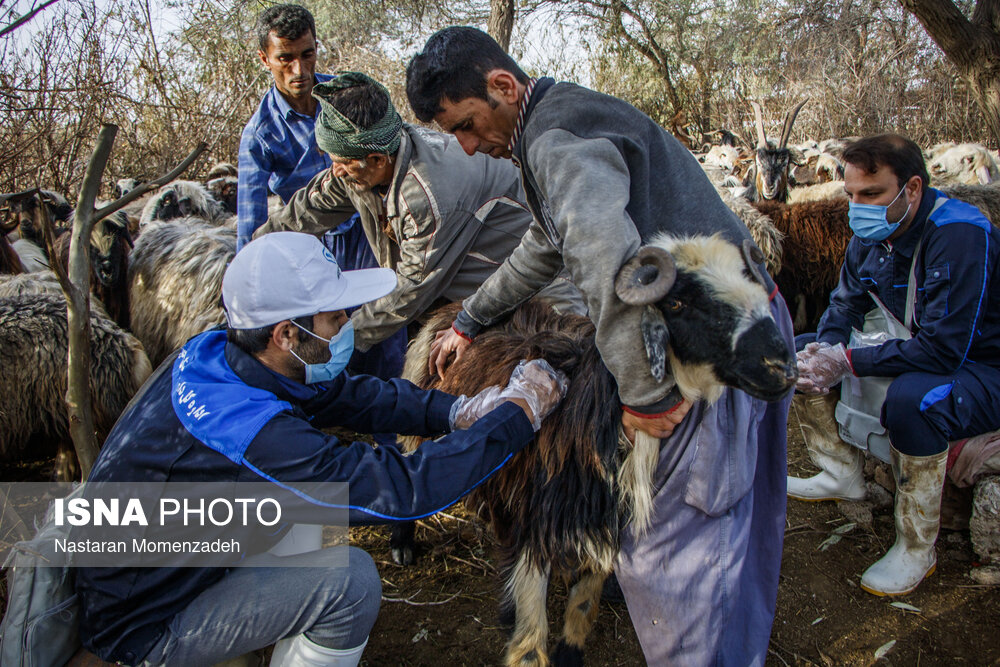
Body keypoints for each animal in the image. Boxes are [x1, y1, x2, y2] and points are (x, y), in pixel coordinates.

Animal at [398, 234, 796, 664]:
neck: (591, 411)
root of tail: (453, 307)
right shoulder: (532, 519)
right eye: (677, 303)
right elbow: (530, 637)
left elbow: (585, 599)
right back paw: (403, 546)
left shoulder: (604, 514)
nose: (782, 367)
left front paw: (570, 652)